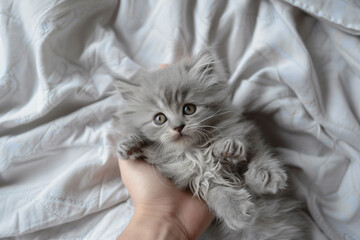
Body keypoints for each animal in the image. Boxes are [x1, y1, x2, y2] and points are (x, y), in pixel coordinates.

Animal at [114, 50, 308, 238]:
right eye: (159, 118)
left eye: (189, 109)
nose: (178, 127)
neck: (195, 152)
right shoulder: (188, 179)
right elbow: (215, 191)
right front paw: (235, 209)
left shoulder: (247, 132)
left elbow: (257, 155)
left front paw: (263, 172)